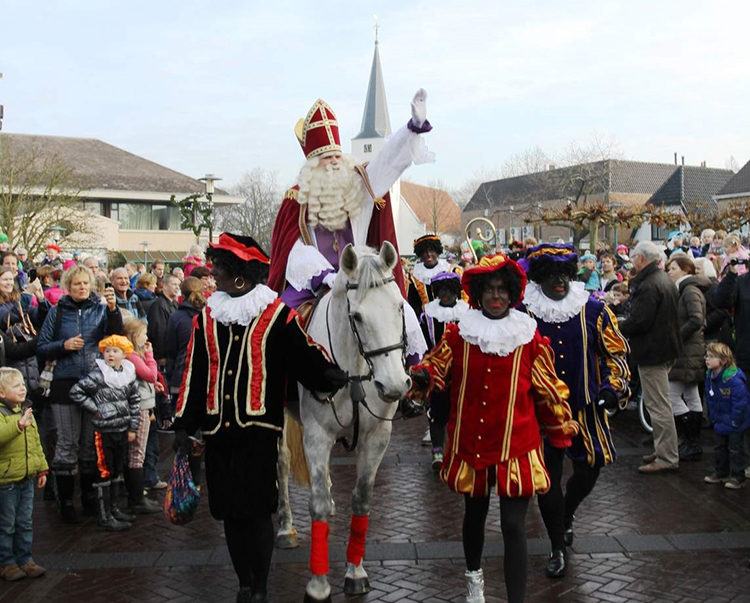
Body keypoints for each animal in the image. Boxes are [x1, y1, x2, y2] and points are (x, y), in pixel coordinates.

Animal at [280, 244, 414, 603]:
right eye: (357, 317)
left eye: (399, 306)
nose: (394, 384)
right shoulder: (316, 435)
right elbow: (316, 504)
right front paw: (318, 585)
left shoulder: (377, 436)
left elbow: (362, 498)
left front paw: (355, 573)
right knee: (282, 465)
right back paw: (285, 527)